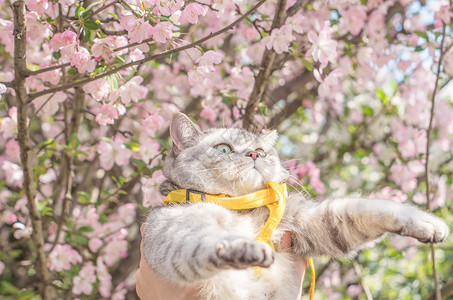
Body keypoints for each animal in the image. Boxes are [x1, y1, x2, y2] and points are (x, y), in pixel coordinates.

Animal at [143, 112, 446, 300]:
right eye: (224, 149)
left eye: (262, 152)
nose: (254, 155)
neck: (242, 206)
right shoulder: (172, 231)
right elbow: (206, 240)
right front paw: (244, 247)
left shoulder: (313, 222)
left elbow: (364, 209)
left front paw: (427, 223)